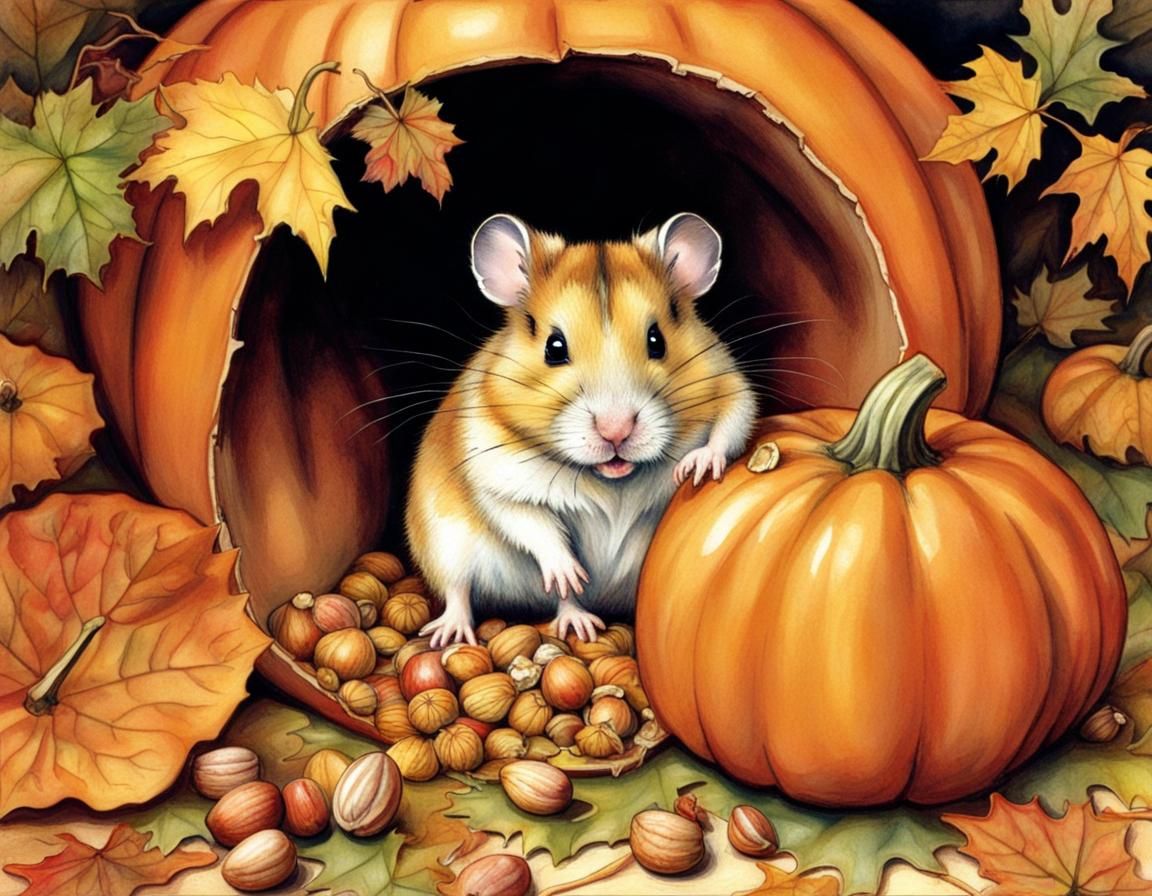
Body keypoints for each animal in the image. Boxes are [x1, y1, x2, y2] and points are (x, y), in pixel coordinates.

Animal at [405, 212, 756, 647]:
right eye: (554, 348)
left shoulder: (728, 379)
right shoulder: (495, 473)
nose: (616, 431)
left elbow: (733, 420)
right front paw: (569, 573)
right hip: (446, 542)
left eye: (656, 340)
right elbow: (530, 521)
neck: (610, 480)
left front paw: (696, 468)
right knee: (461, 589)